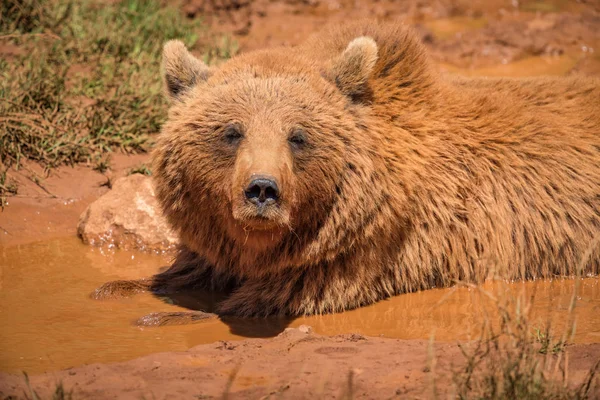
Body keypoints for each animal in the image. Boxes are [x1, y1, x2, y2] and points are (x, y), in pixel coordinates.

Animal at [96, 20, 600, 318]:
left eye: (297, 135)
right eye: (232, 132)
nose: (262, 190)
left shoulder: (364, 260)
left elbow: (249, 302)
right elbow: (182, 272)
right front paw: (116, 289)